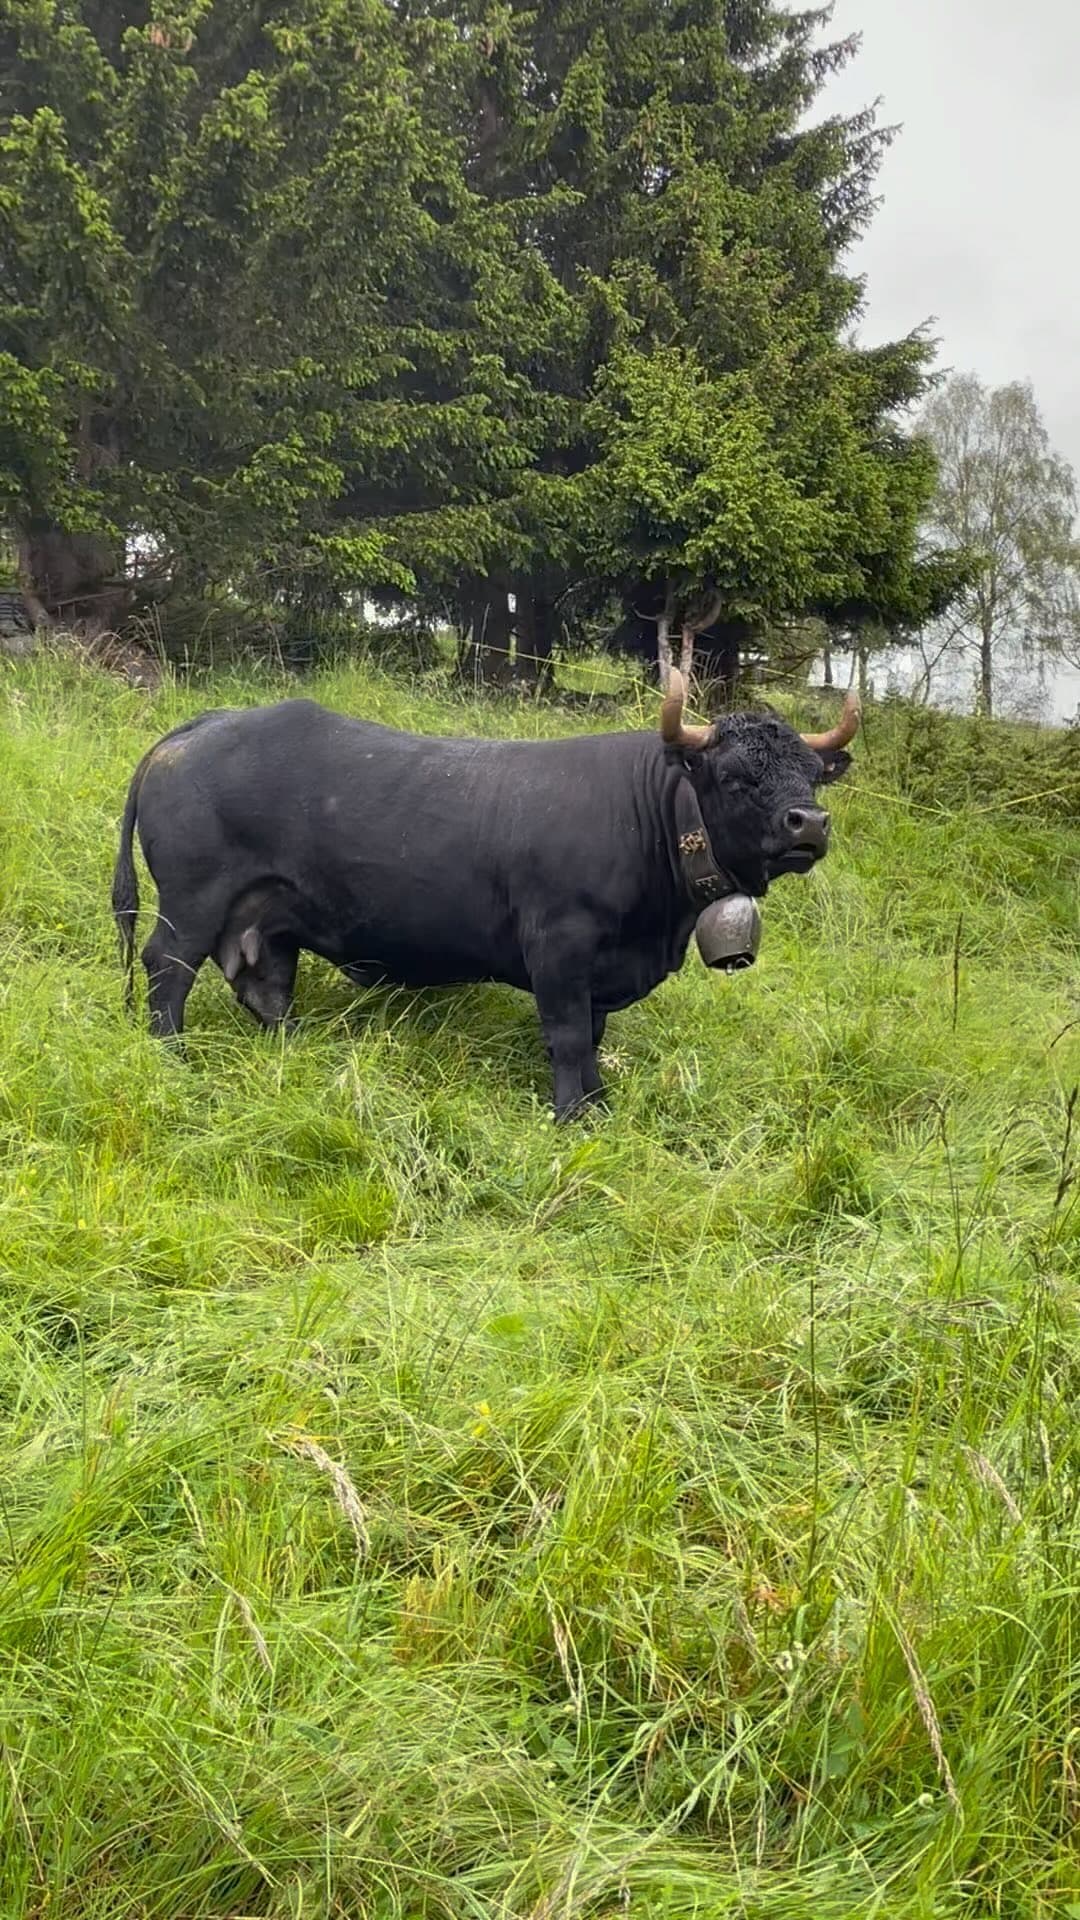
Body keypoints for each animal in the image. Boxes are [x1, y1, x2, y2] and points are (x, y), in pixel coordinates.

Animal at [111, 672, 859, 1119]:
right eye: (734, 777)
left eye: (812, 775)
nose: (809, 824)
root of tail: (199, 727)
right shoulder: (559, 945)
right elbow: (567, 1036)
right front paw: (572, 1116)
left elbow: (592, 1035)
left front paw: (598, 1104)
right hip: (192, 903)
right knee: (166, 972)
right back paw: (173, 1059)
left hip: (264, 916)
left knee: (262, 981)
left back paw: (296, 1052)